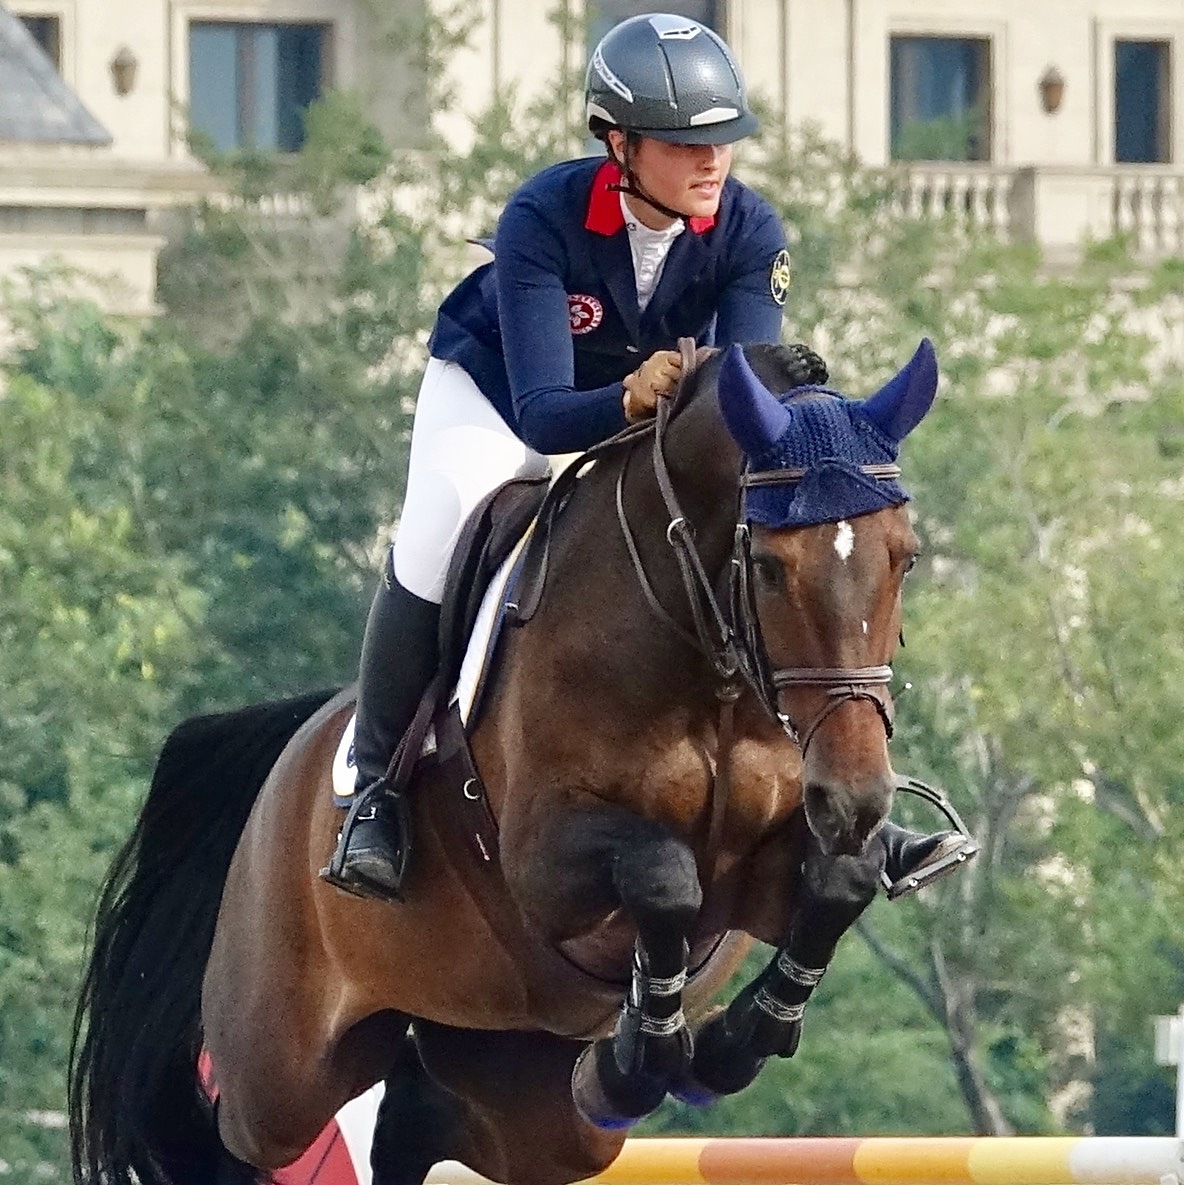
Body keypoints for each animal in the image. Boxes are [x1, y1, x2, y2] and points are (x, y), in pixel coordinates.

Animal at [69, 338, 940, 1185]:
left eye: (905, 557)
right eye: (767, 566)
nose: (856, 796)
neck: (704, 661)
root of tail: (295, 747)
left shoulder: (757, 873)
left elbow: (841, 879)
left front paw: (721, 1045)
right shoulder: (541, 862)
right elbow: (662, 873)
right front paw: (642, 1057)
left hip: (513, 1075)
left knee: (425, 1120)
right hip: (281, 1068)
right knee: (233, 1134)